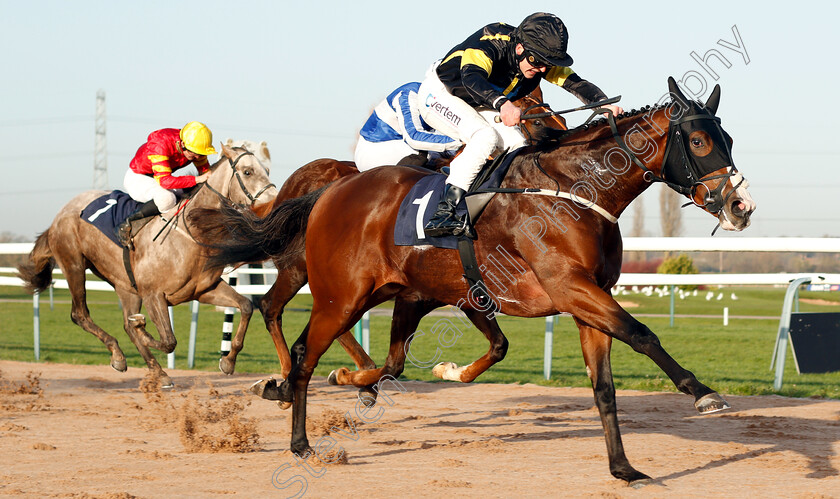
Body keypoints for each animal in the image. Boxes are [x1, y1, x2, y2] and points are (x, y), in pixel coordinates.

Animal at [16, 144, 278, 386]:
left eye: (266, 170)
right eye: (247, 172)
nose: (273, 202)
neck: (189, 233)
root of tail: (61, 214)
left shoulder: (203, 290)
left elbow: (246, 306)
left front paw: (228, 361)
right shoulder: (154, 295)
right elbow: (168, 340)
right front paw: (143, 328)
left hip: (125, 285)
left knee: (125, 324)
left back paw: (157, 372)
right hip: (74, 265)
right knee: (80, 314)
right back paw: (119, 354)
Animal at [195, 79, 756, 484]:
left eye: (728, 139)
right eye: (699, 140)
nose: (739, 206)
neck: (571, 190)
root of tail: (331, 191)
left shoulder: (584, 299)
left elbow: (603, 386)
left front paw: (623, 467)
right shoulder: (570, 287)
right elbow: (642, 333)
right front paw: (702, 392)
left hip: (398, 294)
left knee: (381, 360)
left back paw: (337, 383)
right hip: (340, 294)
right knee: (300, 345)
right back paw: (299, 434)